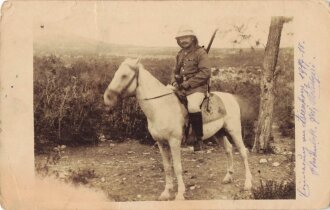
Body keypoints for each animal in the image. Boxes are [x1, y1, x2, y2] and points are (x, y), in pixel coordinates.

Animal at [104, 57, 253, 200]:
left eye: (124, 75)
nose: (107, 98)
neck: (161, 106)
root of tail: (230, 97)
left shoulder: (174, 142)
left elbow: (177, 167)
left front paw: (180, 194)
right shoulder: (161, 143)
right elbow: (167, 167)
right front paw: (166, 192)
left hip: (234, 131)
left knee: (243, 152)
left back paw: (248, 183)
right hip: (219, 133)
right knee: (228, 150)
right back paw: (228, 177)